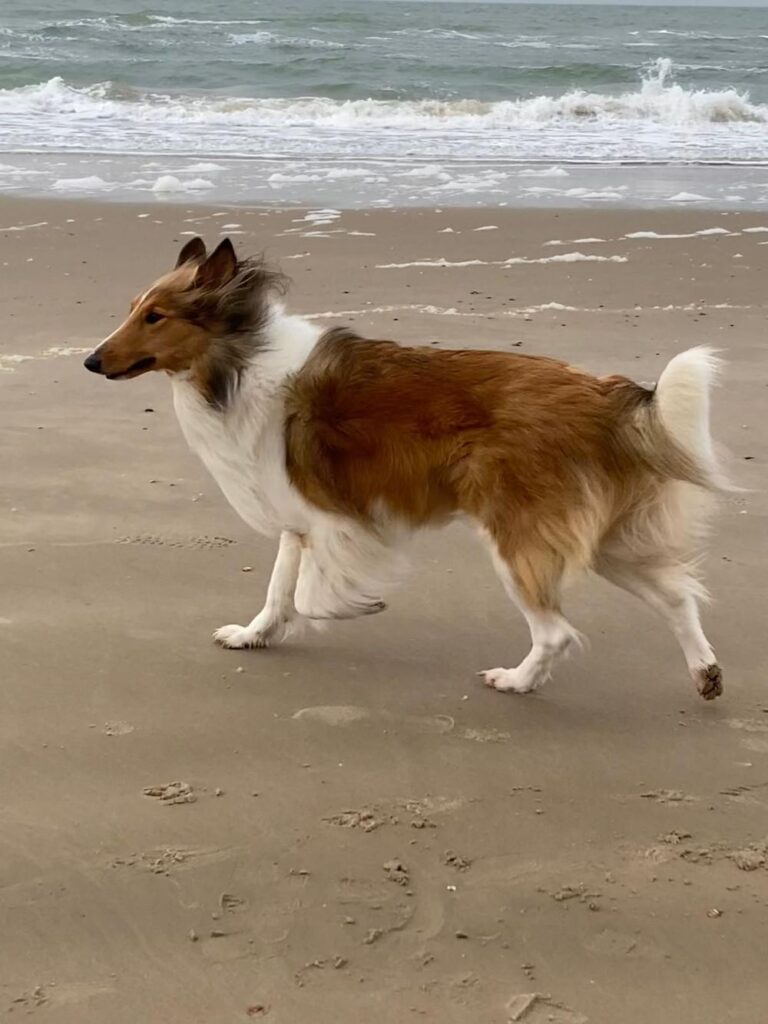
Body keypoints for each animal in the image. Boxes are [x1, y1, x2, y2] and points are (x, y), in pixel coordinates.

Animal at [84, 236, 727, 700]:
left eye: (156, 317)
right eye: (134, 311)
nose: (90, 361)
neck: (238, 363)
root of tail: (607, 395)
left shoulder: (337, 519)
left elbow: (310, 596)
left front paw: (360, 605)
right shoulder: (299, 519)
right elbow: (277, 591)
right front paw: (252, 636)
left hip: (517, 535)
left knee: (557, 631)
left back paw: (516, 681)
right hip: (602, 539)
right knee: (677, 597)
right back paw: (705, 673)